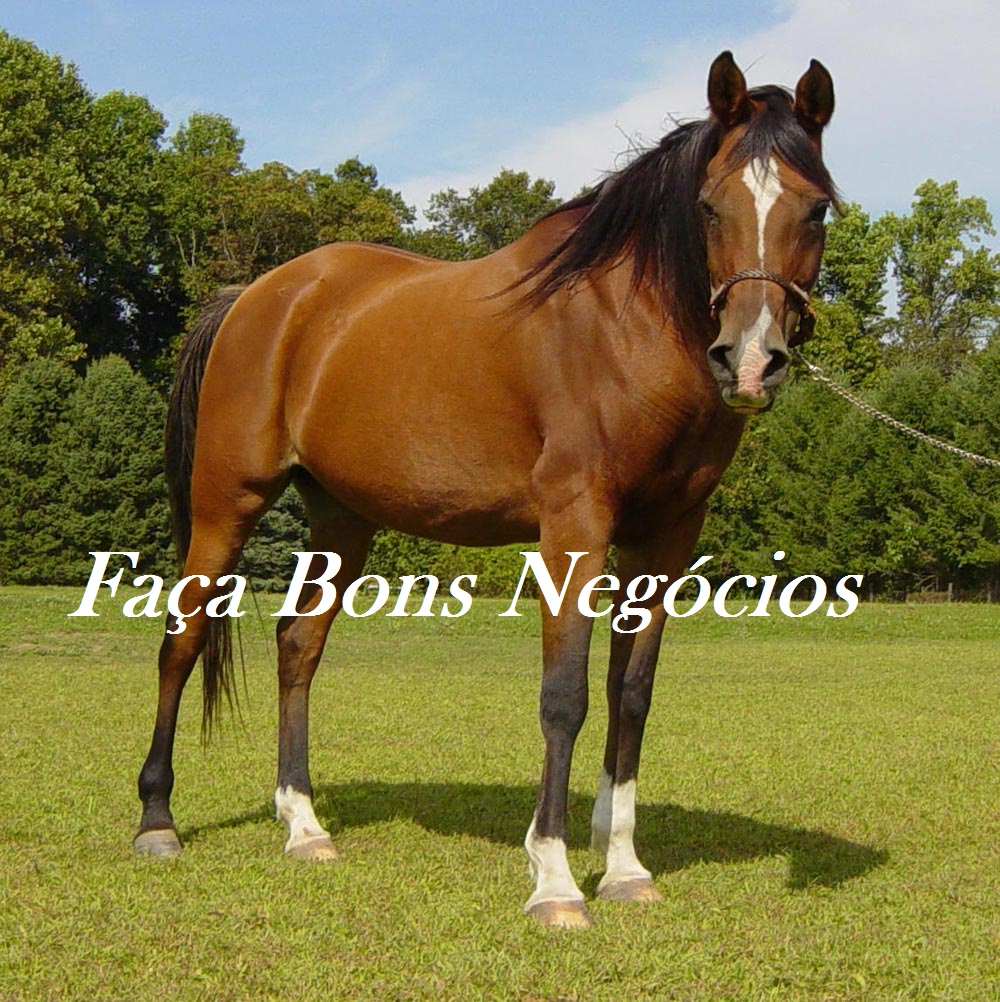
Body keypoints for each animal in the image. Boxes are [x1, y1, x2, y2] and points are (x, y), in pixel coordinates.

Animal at [134, 51, 837, 929]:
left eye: (817, 209)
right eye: (709, 206)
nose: (749, 360)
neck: (624, 326)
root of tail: (256, 297)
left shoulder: (668, 533)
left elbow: (631, 693)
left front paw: (625, 867)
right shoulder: (574, 525)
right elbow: (566, 694)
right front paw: (556, 879)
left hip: (342, 520)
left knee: (298, 646)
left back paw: (303, 825)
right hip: (227, 504)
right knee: (182, 639)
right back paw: (157, 820)